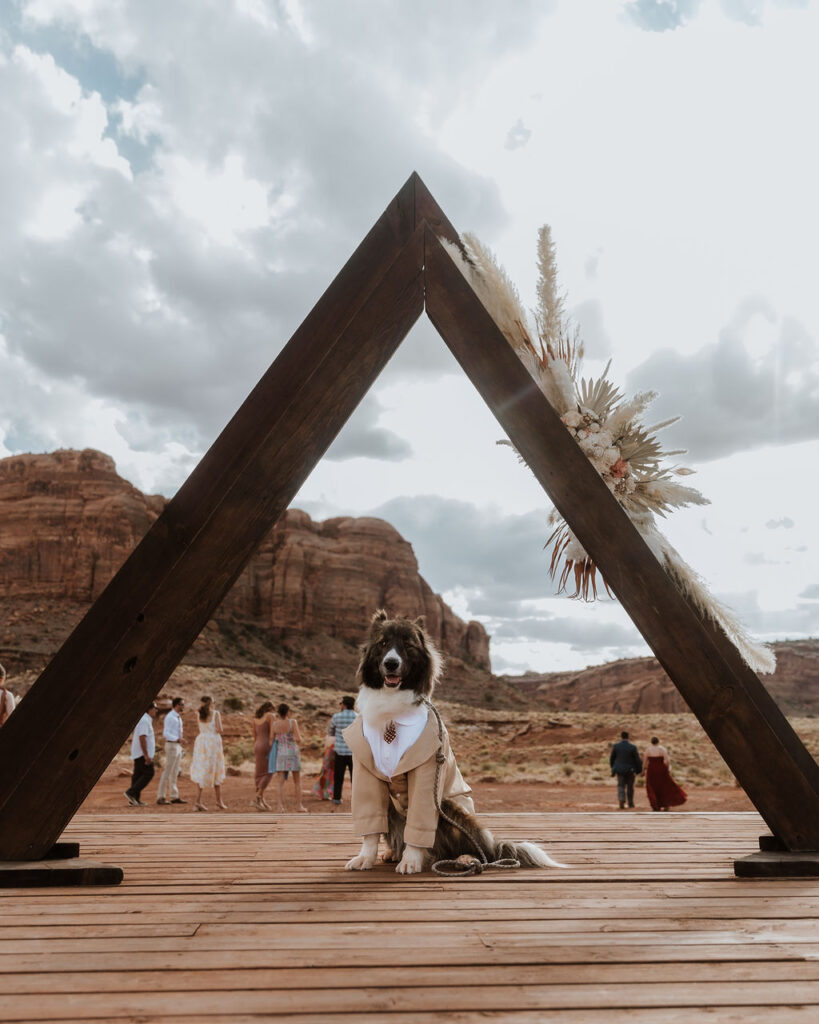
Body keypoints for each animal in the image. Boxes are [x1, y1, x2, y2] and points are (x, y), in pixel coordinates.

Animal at [341, 610, 565, 876]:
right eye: (383, 643)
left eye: (408, 645)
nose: (391, 663)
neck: (392, 711)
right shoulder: (366, 772)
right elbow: (370, 829)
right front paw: (365, 857)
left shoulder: (427, 772)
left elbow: (419, 828)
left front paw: (410, 860)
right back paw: (393, 853)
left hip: (449, 807)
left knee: (473, 850)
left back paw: (467, 859)